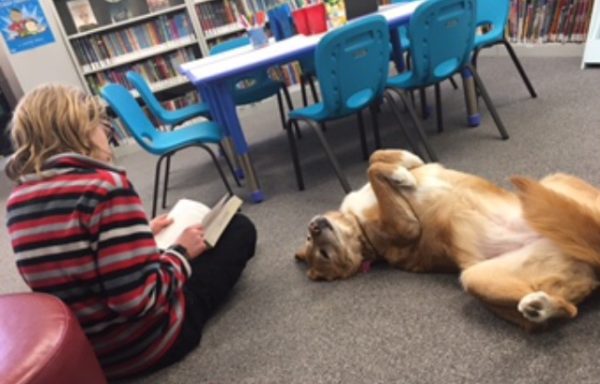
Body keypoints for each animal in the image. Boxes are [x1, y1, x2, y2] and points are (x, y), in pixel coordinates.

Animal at [294, 148, 600, 328]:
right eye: (323, 254)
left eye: (310, 241)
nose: (314, 227)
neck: (360, 232)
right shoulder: (407, 228)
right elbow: (374, 169)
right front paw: (400, 174)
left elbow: (376, 157)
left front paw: (404, 164)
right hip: (475, 277)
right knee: (568, 310)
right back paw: (539, 307)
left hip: (553, 184)